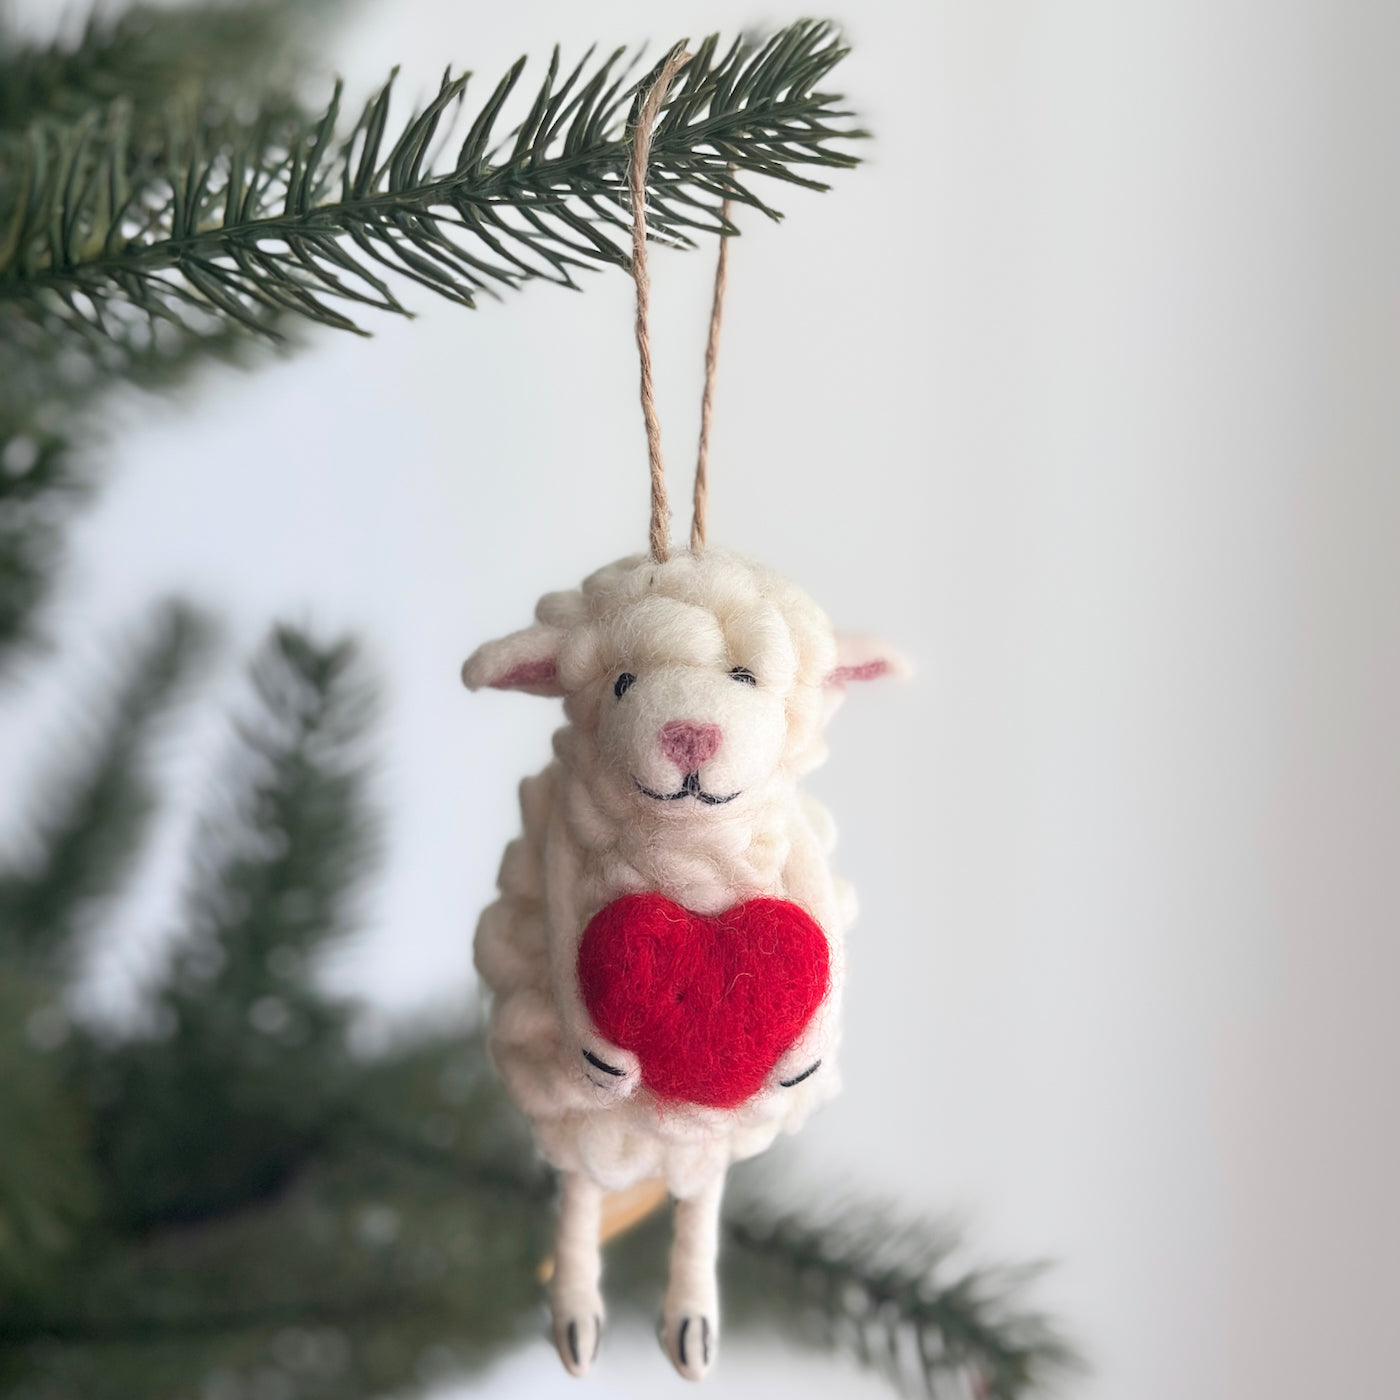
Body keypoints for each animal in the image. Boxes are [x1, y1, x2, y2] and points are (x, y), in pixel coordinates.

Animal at [459, 543, 896, 1377]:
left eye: (745, 677)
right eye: (621, 682)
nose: (689, 735)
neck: (689, 843)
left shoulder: (795, 849)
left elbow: (819, 914)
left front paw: (805, 1057)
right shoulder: (562, 850)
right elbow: (565, 934)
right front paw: (601, 1054)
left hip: (710, 1137)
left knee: (698, 1206)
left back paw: (692, 1326)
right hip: (574, 1116)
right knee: (581, 1191)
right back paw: (577, 1323)